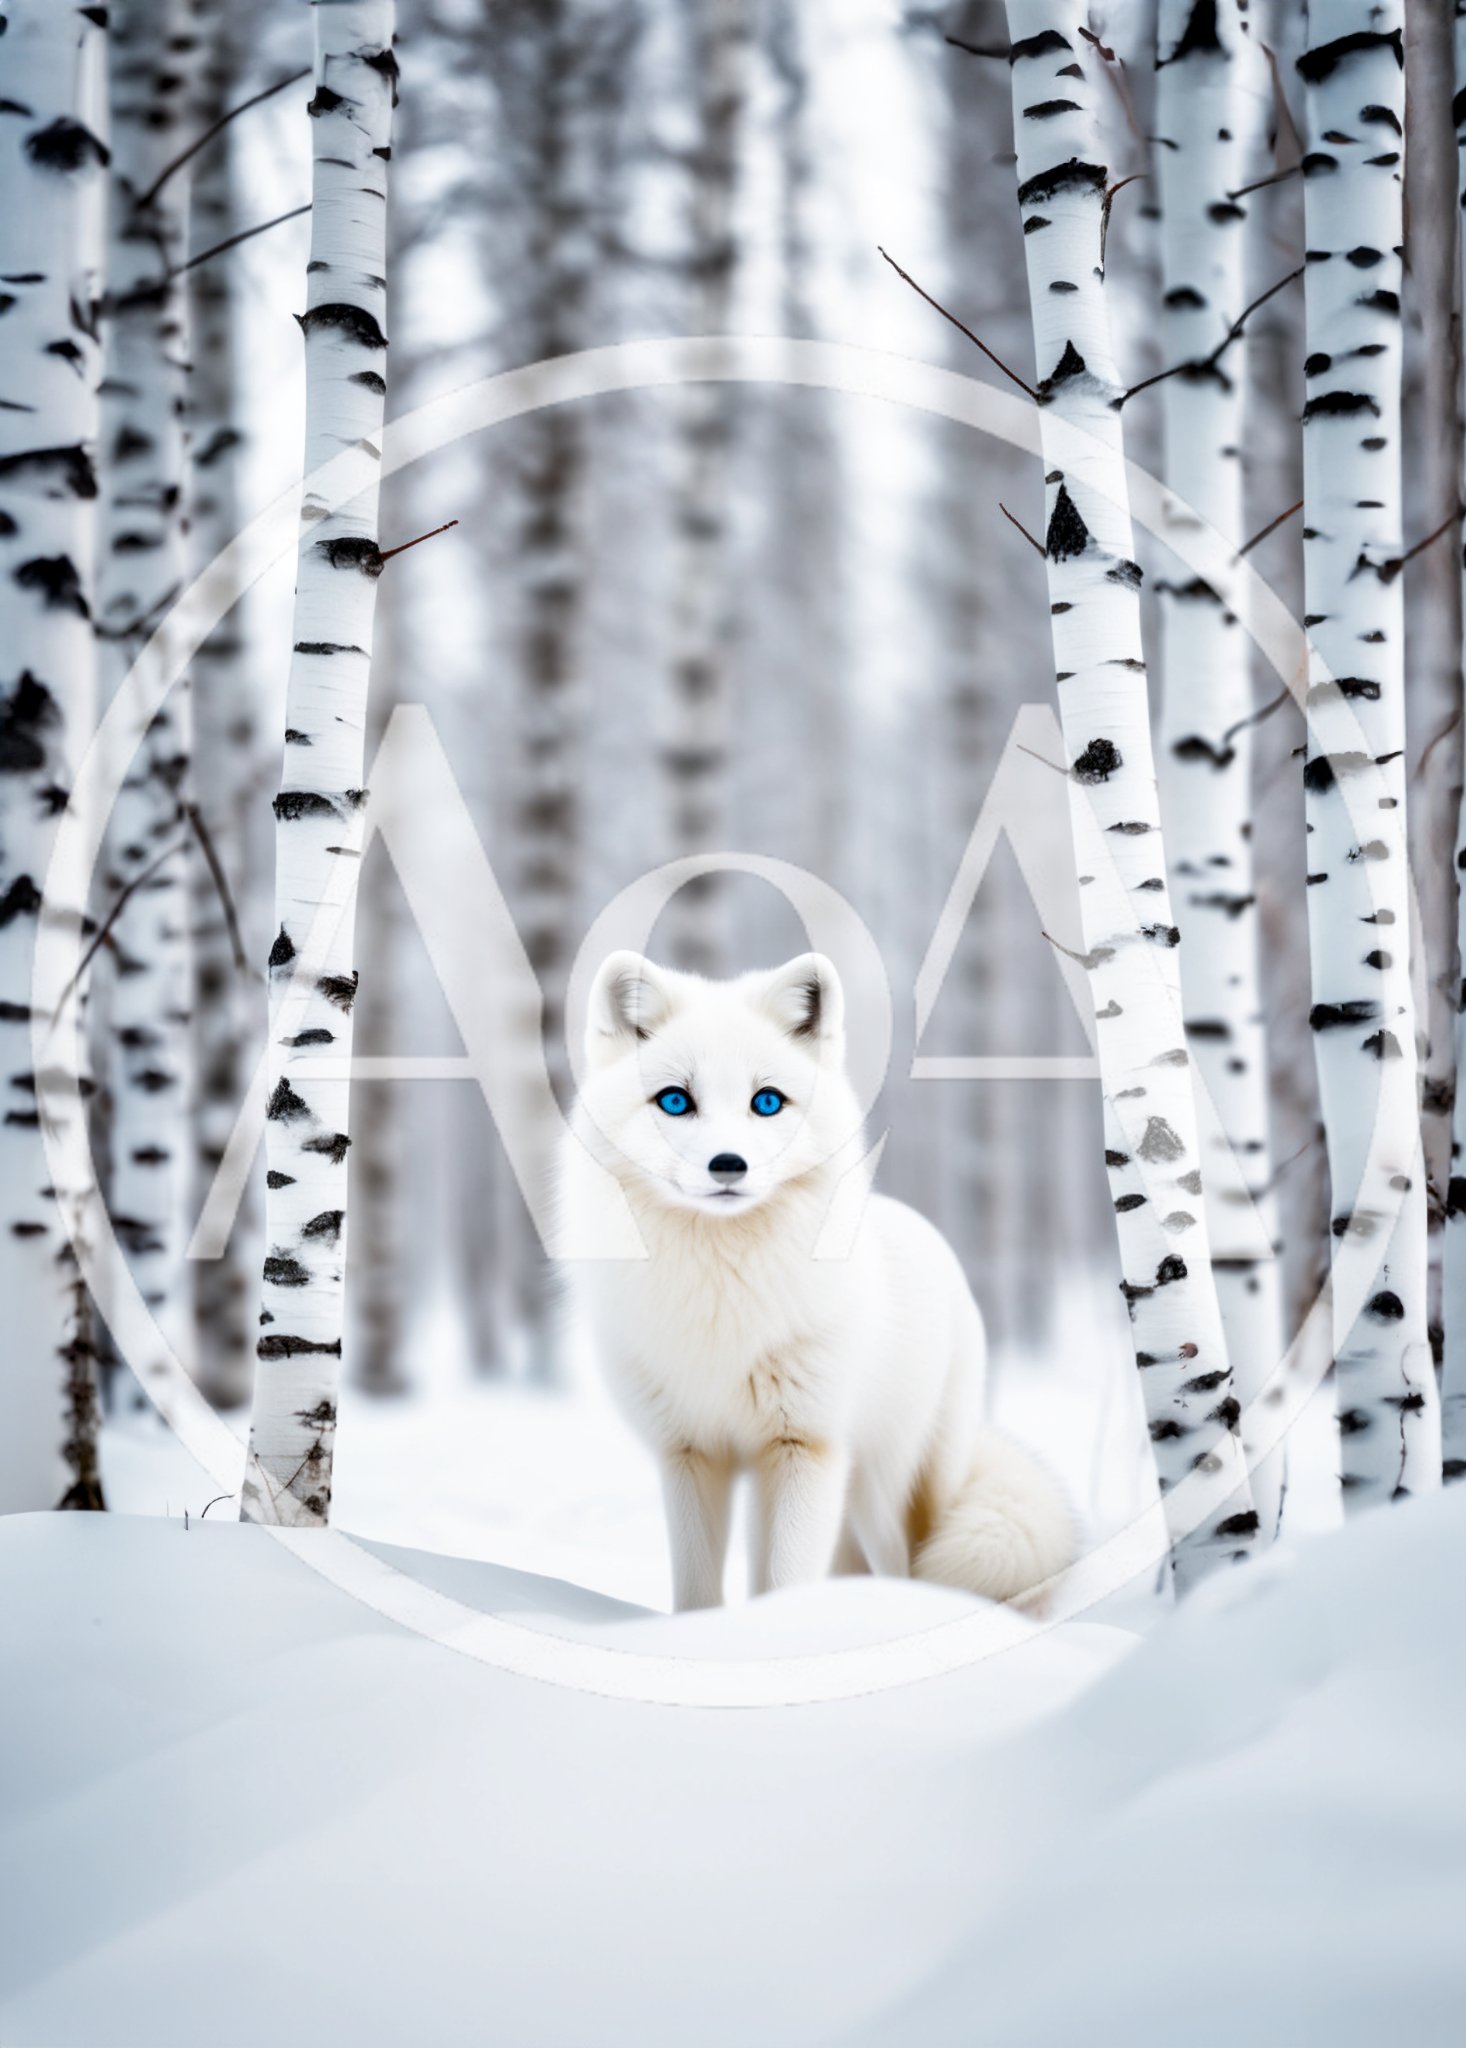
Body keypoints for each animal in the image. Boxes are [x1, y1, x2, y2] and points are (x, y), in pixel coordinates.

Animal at [560, 949, 1075, 1611]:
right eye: (675, 1101)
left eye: (767, 1102)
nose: (728, 1165)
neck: (722, 1288)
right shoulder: (690, 1452)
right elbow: (700, 1592)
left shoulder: (806, 1446)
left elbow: (786, 1582)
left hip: (892, 1487)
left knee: (905, 1563)